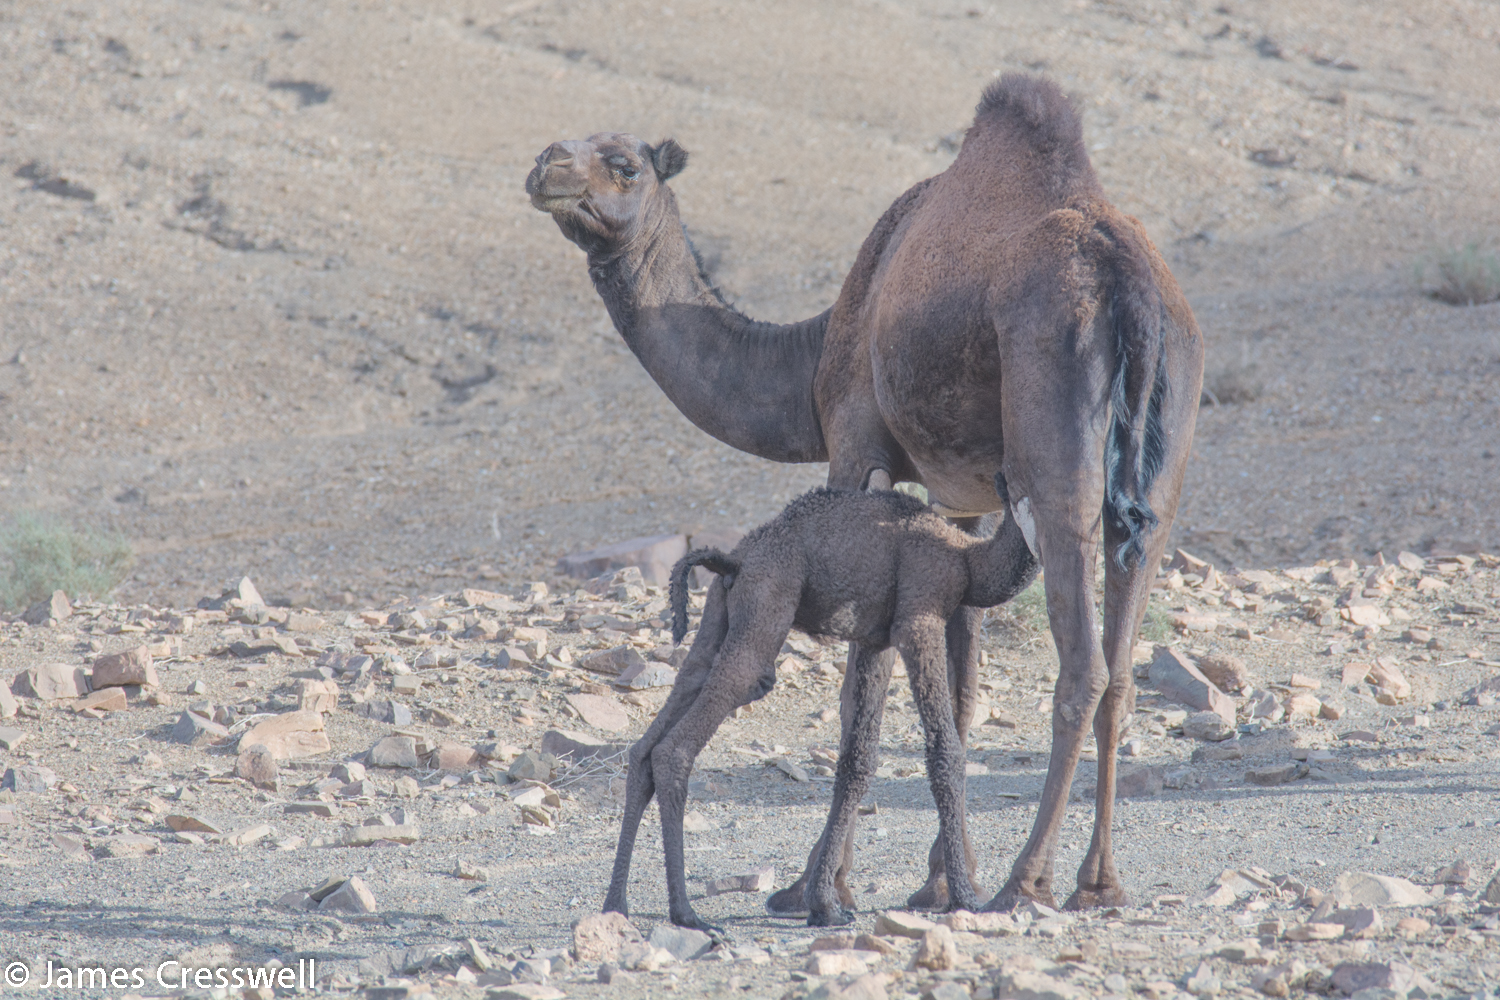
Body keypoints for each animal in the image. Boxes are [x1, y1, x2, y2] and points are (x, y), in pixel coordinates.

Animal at [605, 486, 1038, 931]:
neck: (967, 559)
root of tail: (734, 560)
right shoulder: (919, 617)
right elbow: (945, 753)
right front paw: (963, 898)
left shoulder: (873, 639)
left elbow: (858, 760)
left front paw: (826, 906)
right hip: (765, 608)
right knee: (678, 745)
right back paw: (685, 913)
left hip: (717, 615)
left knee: (651, 738)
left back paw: (617, 904)